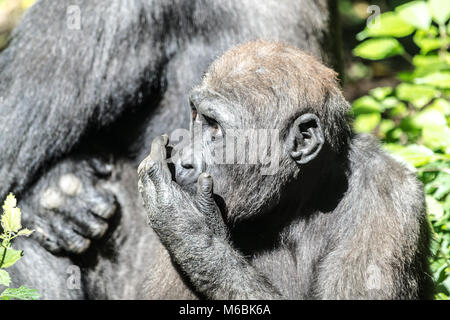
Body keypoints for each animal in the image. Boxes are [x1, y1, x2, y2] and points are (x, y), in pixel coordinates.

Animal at [138, 40, 432, 300]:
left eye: (215, 127)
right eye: (197, 116)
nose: (184, 160)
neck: (299, 200)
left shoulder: (389, 196)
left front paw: (194, 230)